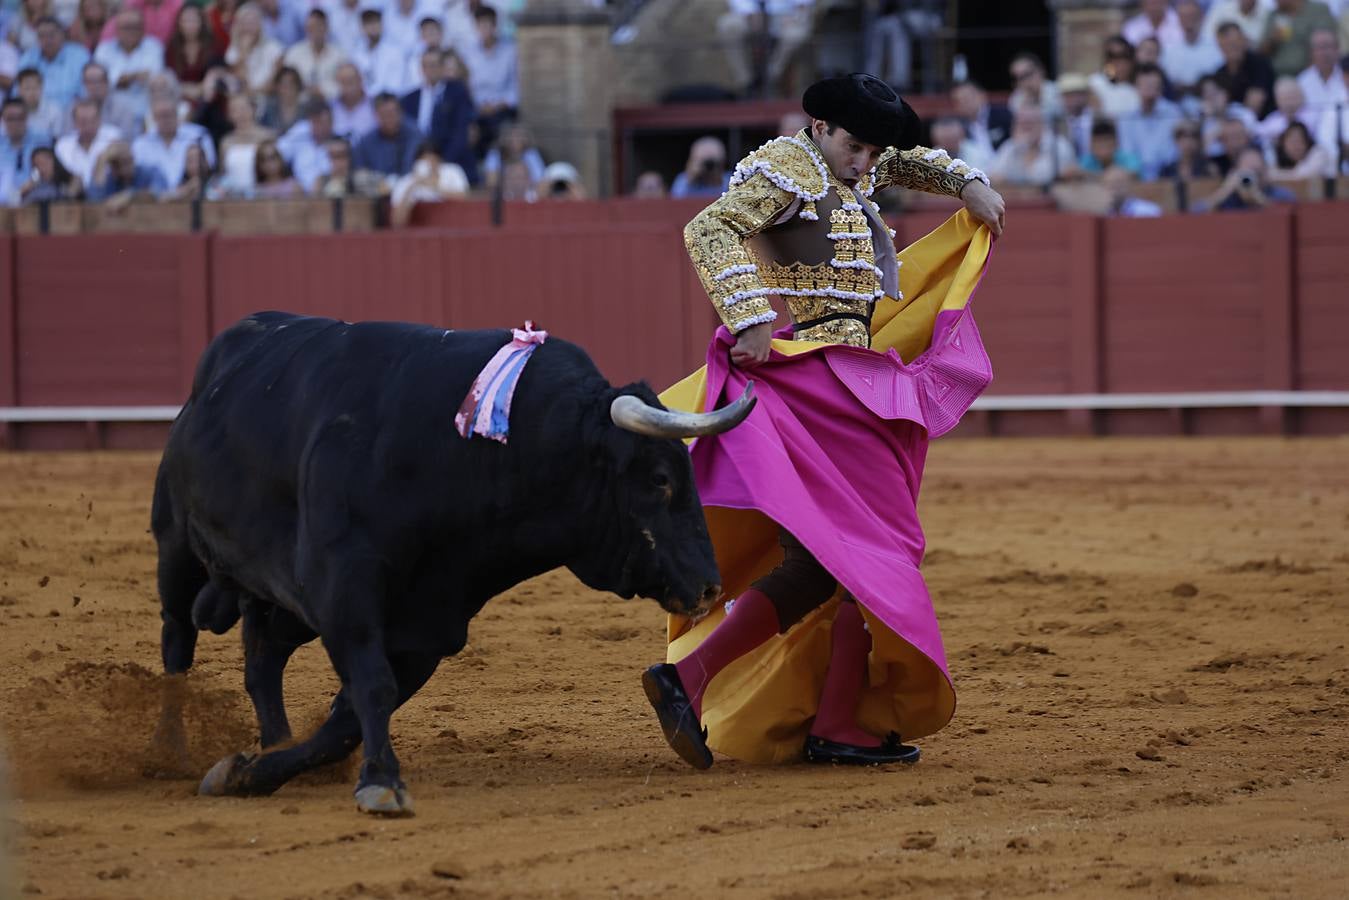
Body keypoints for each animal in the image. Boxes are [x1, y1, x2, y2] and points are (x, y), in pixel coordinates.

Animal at [153, 311, 755, 814]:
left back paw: (272, 742)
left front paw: (250, 772)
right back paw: (169, 751)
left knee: (262, 661)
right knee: (177, 642)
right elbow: (371, 685)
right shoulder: (344, 590)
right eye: (660, 478)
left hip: (277, 601)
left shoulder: (430, 625)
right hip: (176, 551)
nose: (709, 587)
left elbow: (346, 719)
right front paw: (381, 782)